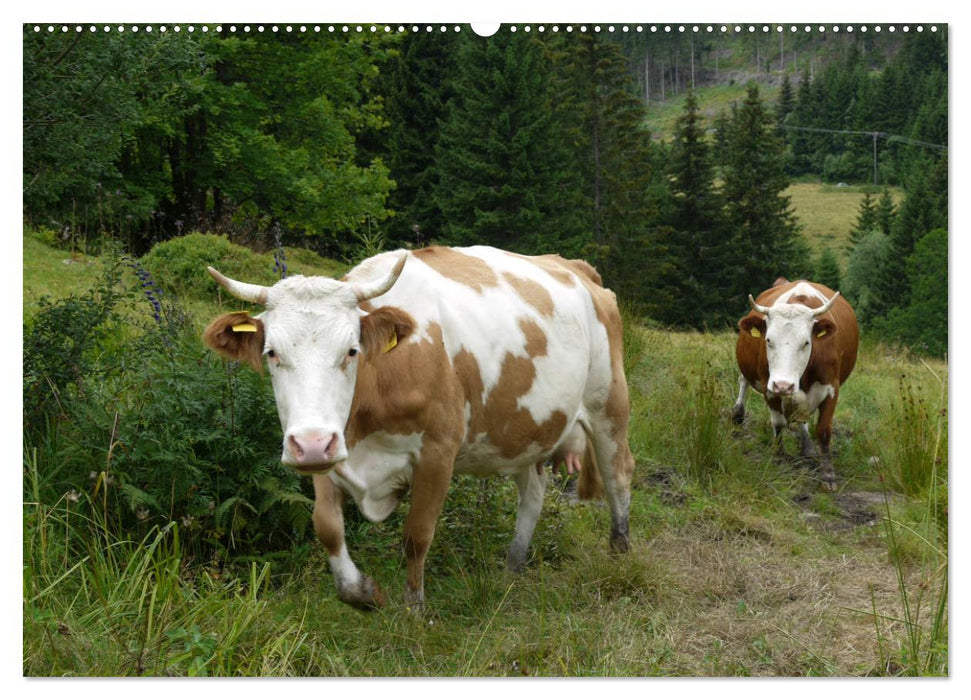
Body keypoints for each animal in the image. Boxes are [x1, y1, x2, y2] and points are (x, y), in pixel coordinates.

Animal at [201, 249, 636, 608]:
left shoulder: (437, 453)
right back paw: (513, 566)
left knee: (618, 474)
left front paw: (414, 609)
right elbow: (326, 527)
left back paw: (620, 549)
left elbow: (417, 536)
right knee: (533, 491)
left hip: (608, 405)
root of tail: (574, 267)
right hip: (524, 429)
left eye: (351, 351)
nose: (309, 445)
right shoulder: (330, 450)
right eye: (271, 352)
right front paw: (362, 593)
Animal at [732, 276, 860, 490]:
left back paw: (807, 447)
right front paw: (778, 456)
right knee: (743, 381)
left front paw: (828, 475)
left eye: (806, 342)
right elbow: (778, 423)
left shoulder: (831, 388)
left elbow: (823, 431)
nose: (783, 385)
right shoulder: (769, 386)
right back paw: (738, 413)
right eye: (768, 340)